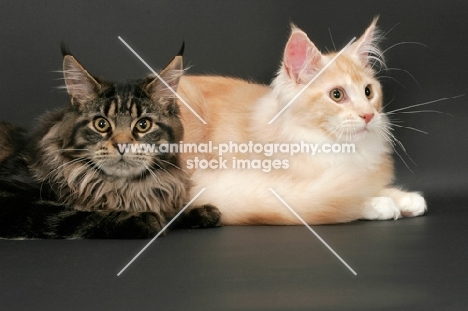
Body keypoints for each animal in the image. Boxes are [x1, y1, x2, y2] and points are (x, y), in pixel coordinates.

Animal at [178, 17, 428, 224]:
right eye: (337, 95)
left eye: (368, 92)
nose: (368, 115)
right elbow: (341, 199)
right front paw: (378, 203)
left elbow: (370, 186)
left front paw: (404, 198)